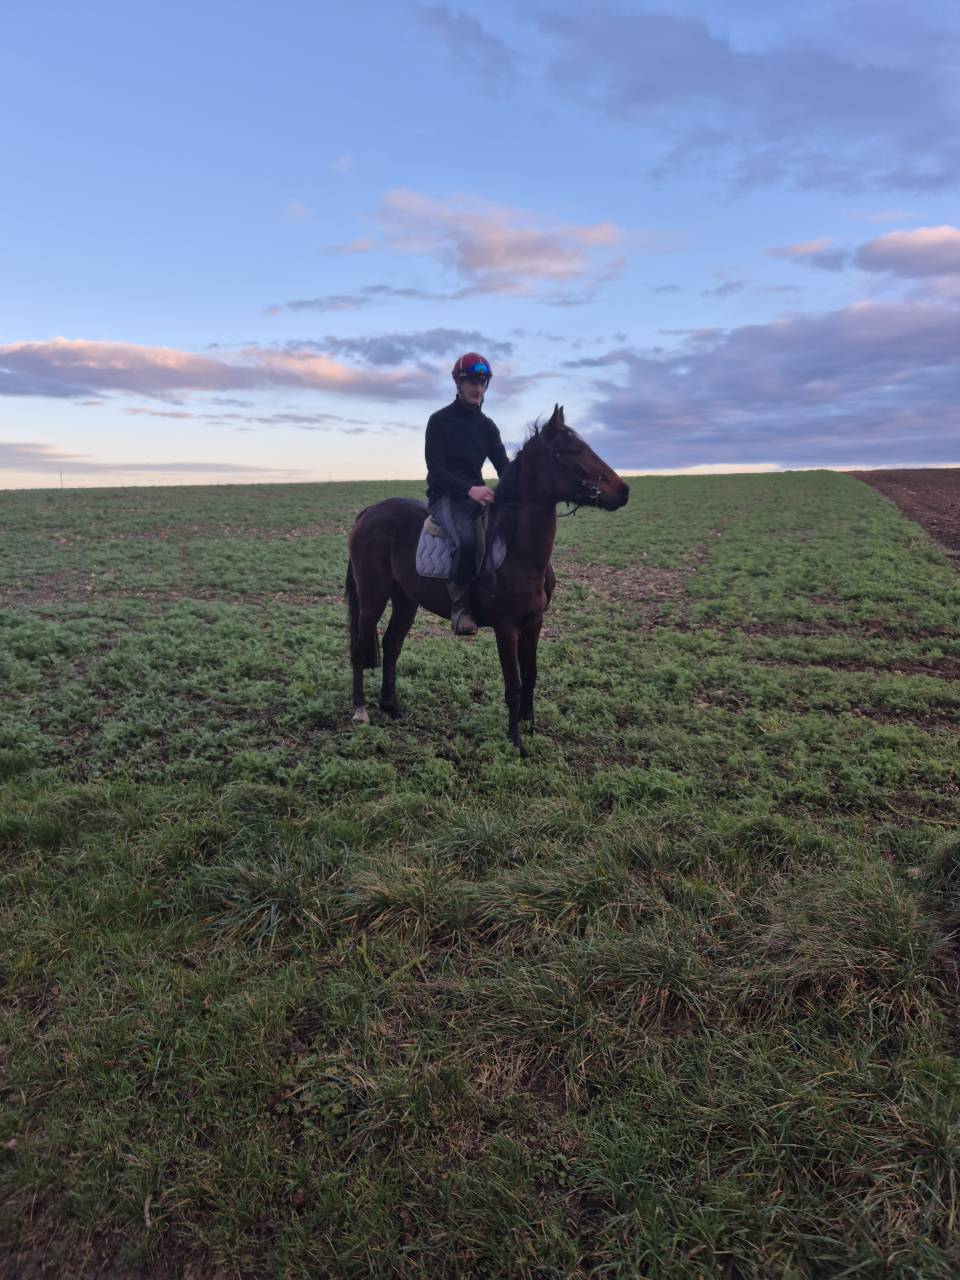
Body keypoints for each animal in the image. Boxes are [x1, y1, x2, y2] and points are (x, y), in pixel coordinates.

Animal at [345, 405, 629, 751]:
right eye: (571, 450)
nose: (624, 490)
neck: (517, 550)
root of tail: (369, 512)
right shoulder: (506, 628)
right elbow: (513, 684)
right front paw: (515, 741)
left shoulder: (534, 621)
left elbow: (531, 674)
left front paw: (530, 724)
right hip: (372, 595)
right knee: (360, 646)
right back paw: (360, 711)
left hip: (405, 599)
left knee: (392, 643)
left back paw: (391, 706)